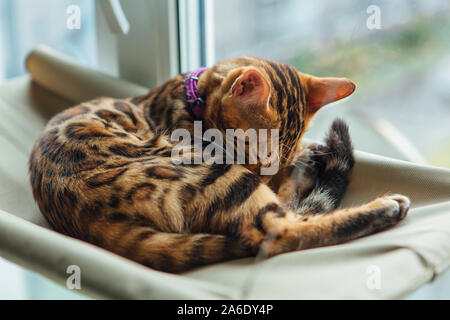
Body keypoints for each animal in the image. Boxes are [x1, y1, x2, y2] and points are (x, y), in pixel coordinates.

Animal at [27, 56, 408, 272]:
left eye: (274, 161)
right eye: (256, 156)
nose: (266, 175)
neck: (189, 95)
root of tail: (89, 218)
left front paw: (302, 160)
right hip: (215, 171)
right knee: (280, 229)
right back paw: (382, 207)